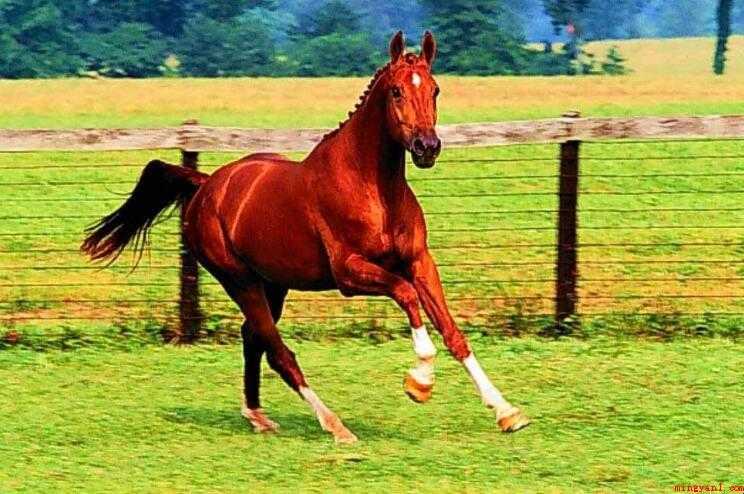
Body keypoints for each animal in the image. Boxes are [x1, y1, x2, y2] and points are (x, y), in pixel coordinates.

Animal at [82, 31, 530, 443]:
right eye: (397, 91)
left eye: (435, 89)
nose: (427, 147)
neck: (372, 188)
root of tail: (206, 185)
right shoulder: (350, 274)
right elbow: (405, 296)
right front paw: (419, 382)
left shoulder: (419, 261)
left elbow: (453, 333)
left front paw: (507, 412)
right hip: (239, 280)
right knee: (278, 350)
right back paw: (335, 426)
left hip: (273, 285)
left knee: (253, 338)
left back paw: (258, 416)